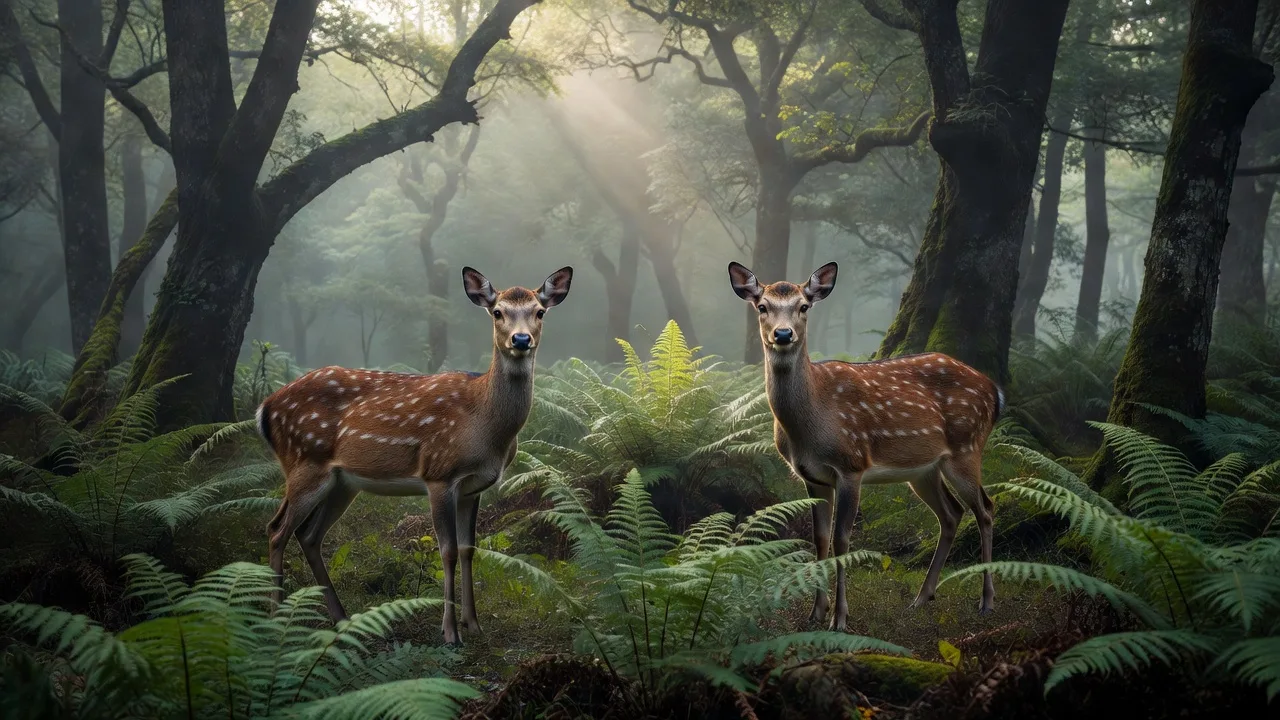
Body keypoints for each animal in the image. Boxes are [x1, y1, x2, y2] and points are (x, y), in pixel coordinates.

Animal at [256, 266, 573, 645]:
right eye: (497, 312)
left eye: (539, 312)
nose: (521, 340)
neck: (486, 428)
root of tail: (265, 409)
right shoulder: (439, 474)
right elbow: (447, 551)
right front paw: (450, 632)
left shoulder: (474, 487)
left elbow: (468, 549)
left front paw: (474, 624)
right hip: (305, 461)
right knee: (277, 529)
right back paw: (275, 620)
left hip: (342, 483)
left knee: (308, 535)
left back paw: (342, 617)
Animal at [727, 261, 1003, 630]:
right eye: (762, 307)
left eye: (804, 306)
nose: (783, 335)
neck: (810, 426)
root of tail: (995, 391)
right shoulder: (812, 477)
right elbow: (819, 539)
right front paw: (816, 612)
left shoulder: (851, 465)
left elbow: (841, 540)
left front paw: (840, 618)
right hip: (924, 471)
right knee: (952, 513)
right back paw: (921, 598)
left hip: (966, 447)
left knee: (985, 509)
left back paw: (986, 601)